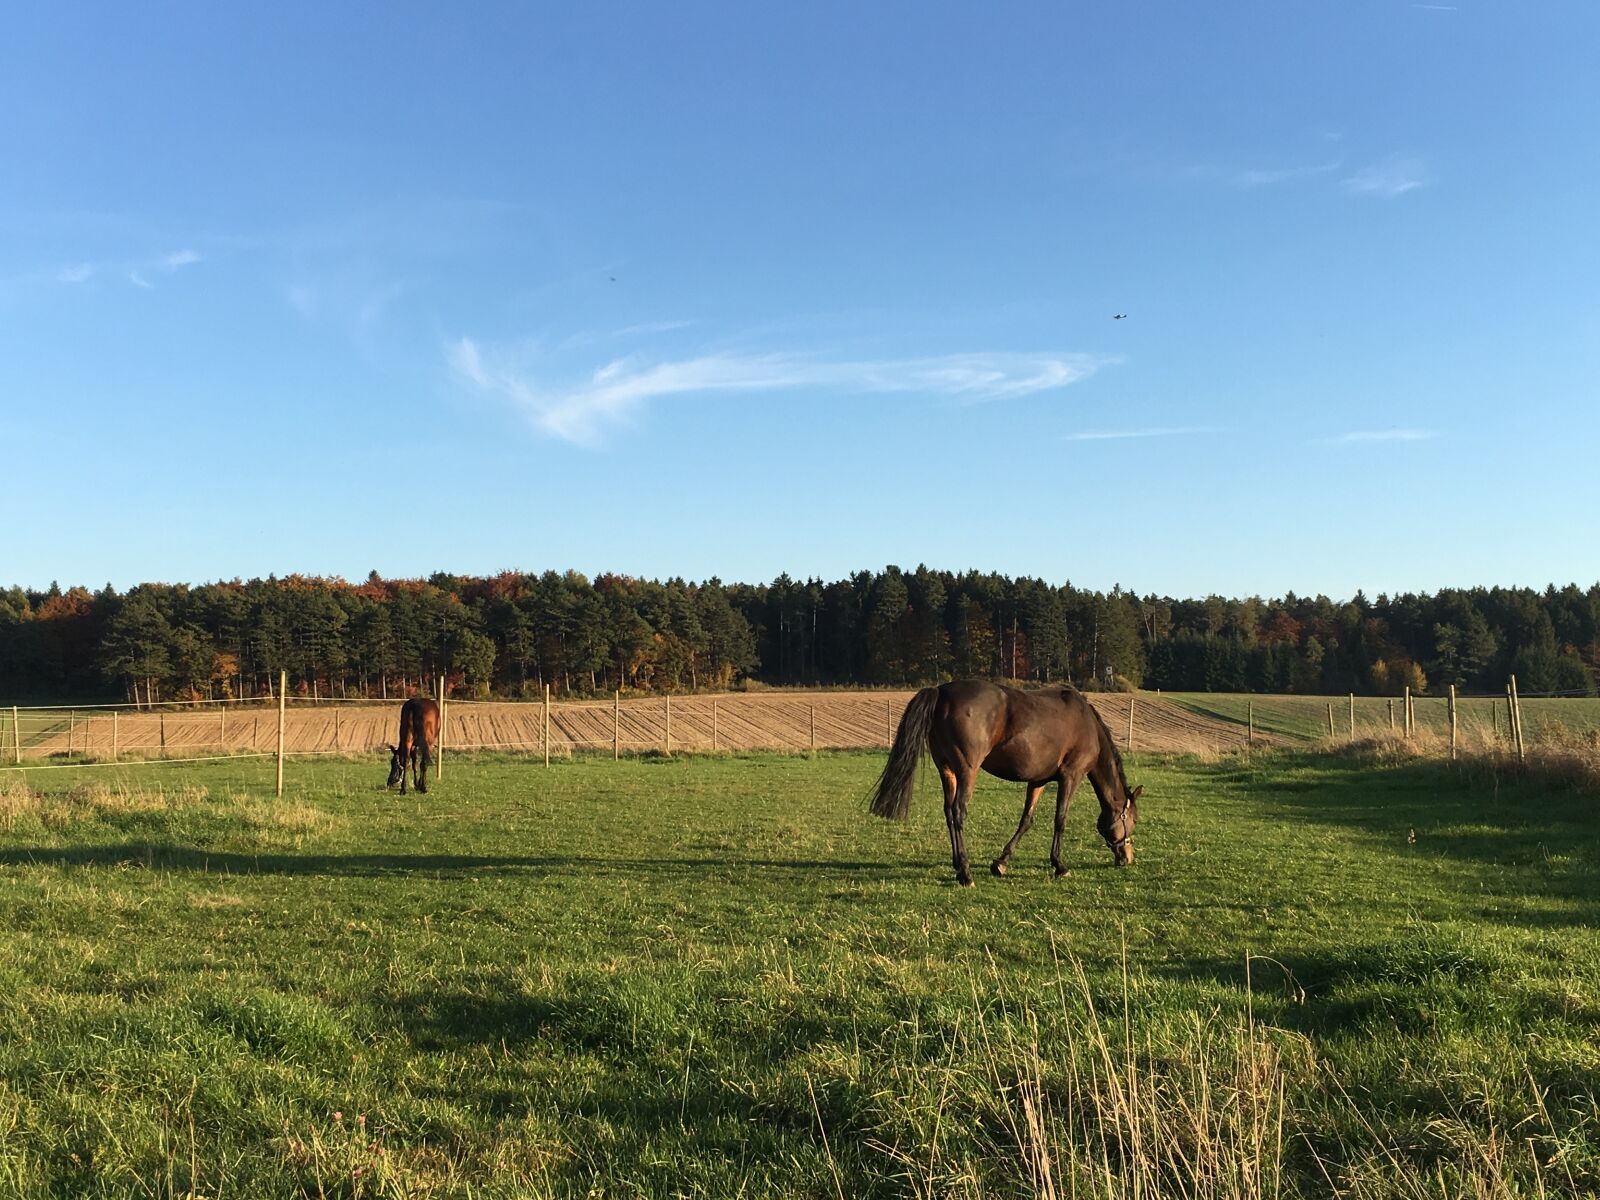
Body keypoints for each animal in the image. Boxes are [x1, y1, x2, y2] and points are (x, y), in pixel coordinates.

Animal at [870, 680, 1141, 886]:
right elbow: (1060, 820)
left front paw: (1001, 862)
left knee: (948, 812)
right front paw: (1059, 865)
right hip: (967, 771)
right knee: (958, 812)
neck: (1088, 726)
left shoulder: (1038, 780)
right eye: (1133, 820)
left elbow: (1027, 820)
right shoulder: (1070, 776)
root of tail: (942, 691)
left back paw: (957, 864)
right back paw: (966, 873)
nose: (1127, 858)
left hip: (947, 770)